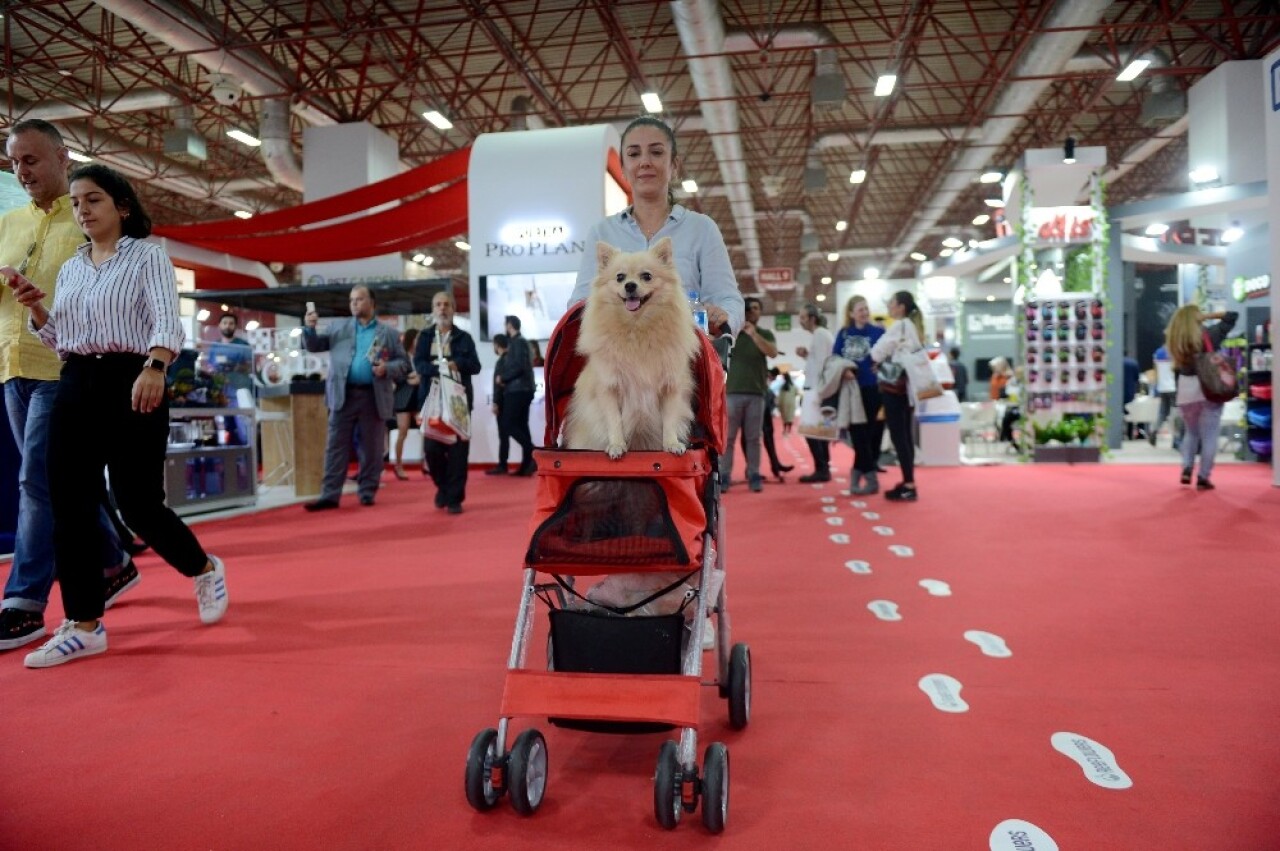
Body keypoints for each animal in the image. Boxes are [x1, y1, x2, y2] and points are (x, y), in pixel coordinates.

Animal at [563, 235, 701, 458]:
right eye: (620, 277)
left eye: (647, 276)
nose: (629, 285)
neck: (636, 327)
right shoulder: (609, 388)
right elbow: (614, 421)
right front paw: (617, 445)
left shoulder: (670, 387)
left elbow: (670, 420)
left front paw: (671, 444)